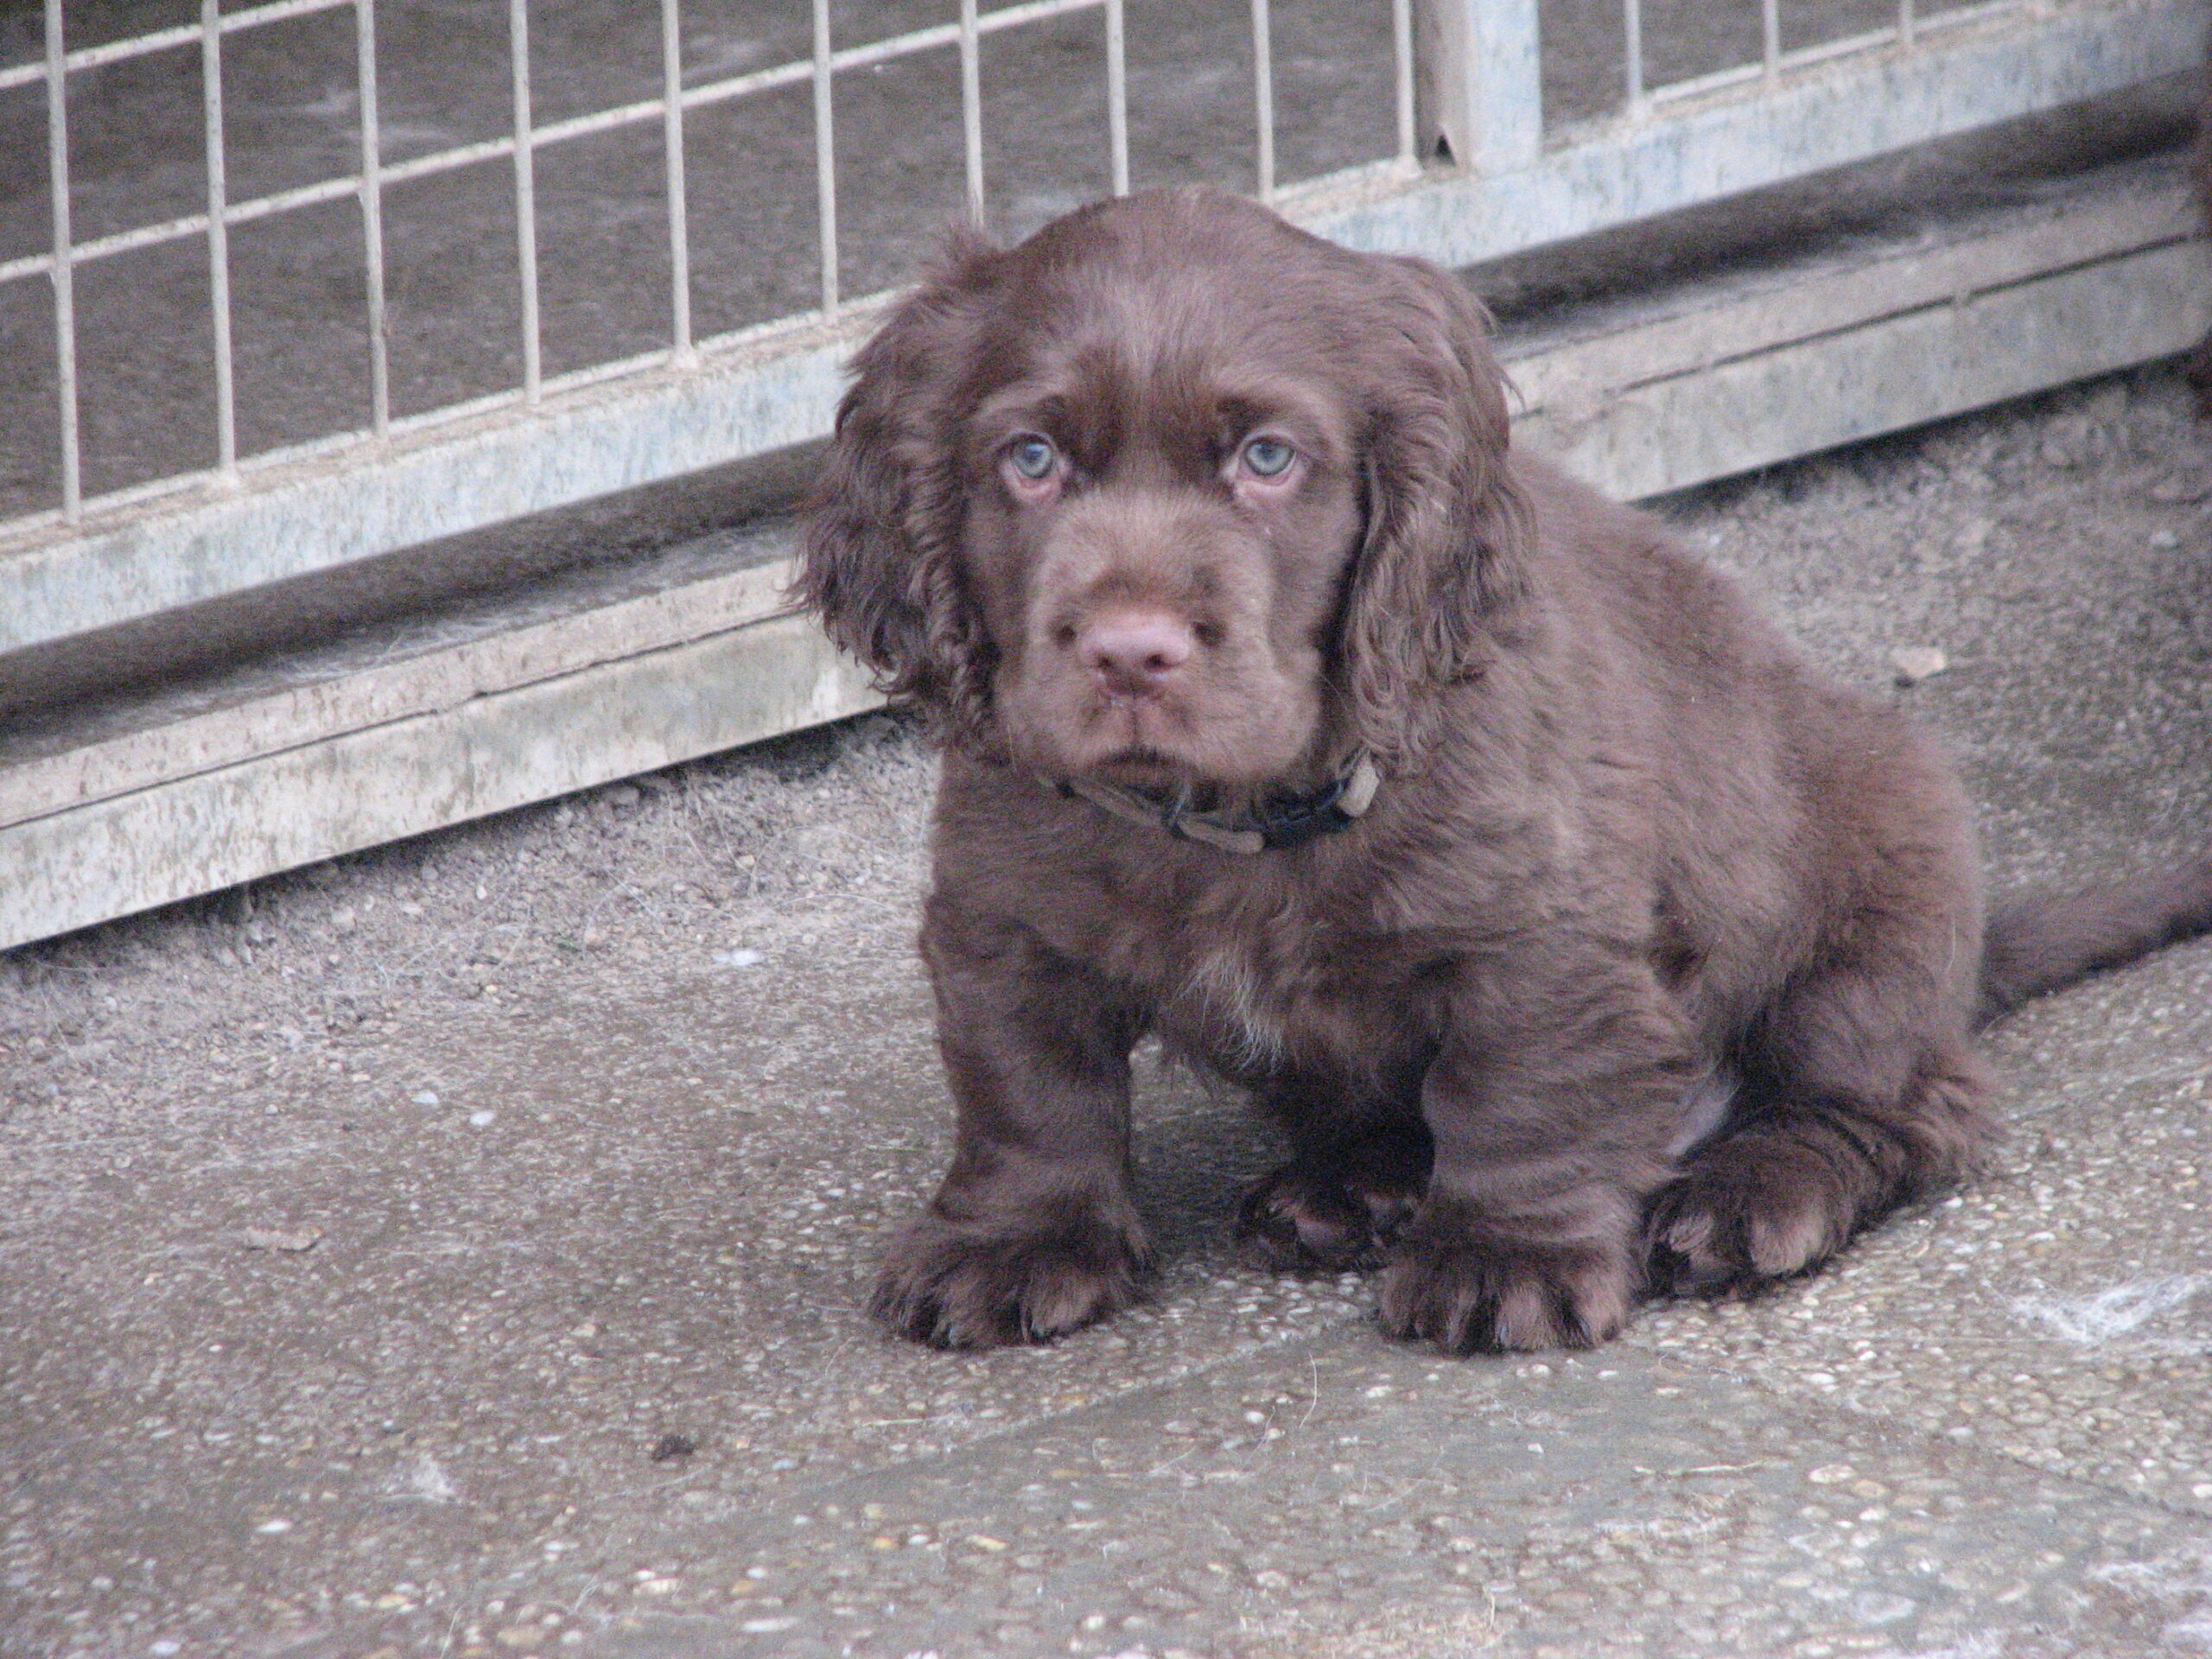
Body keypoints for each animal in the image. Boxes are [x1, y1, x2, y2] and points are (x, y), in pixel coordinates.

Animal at [798, 187, 2212, 1354]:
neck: (1234, 817)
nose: (1128, 650)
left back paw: (1751, 1191)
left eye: (1267, 459)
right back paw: (1351, 1185)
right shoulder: (1001, 914)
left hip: (1880, 899)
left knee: (1896, 1107)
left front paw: (1501, 1261)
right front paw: (1014, 1241)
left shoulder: (1540, 928)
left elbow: (1515, 1086)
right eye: (1030, 461)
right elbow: (1026, 1085)